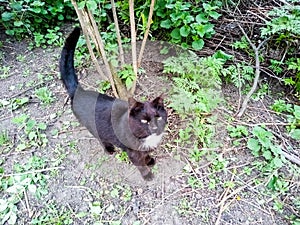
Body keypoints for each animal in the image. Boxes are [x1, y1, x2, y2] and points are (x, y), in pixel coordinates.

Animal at [59, 27, 168, 180]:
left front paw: (149, 160)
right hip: (94, 127)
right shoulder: (132, 152)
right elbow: (139, 163)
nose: (154, 127)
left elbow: (145, 155)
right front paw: (147, 175)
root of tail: (79, 91)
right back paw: (109, 149)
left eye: (158, 117)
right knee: (100, 138)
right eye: (144, 120)